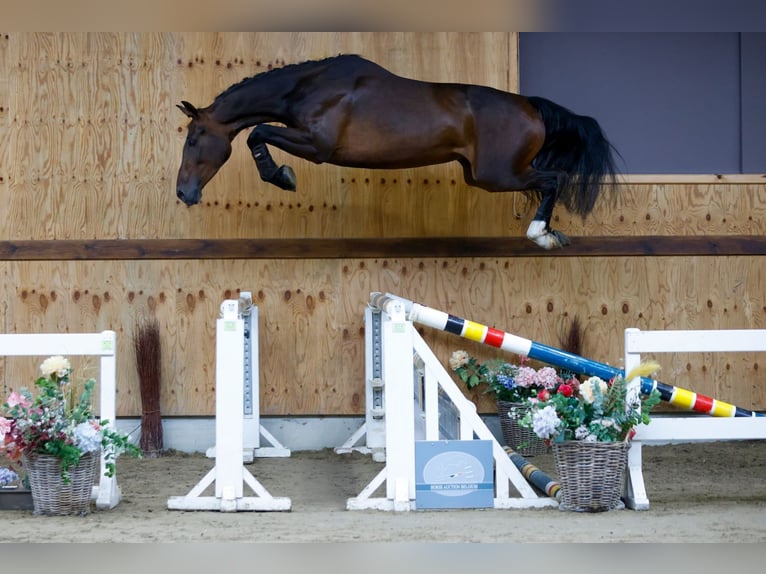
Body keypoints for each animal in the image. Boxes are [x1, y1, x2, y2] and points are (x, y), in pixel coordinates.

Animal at [177, 54, 620, 250]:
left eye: (194, 137)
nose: (184, 193)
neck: (310, 87)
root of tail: (531, 105)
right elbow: (258, 133)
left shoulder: (316, 145)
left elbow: (257, 134)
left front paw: (282, 176)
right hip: (486, 174)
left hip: (498, 176)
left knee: (554, 179)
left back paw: (541, 234)